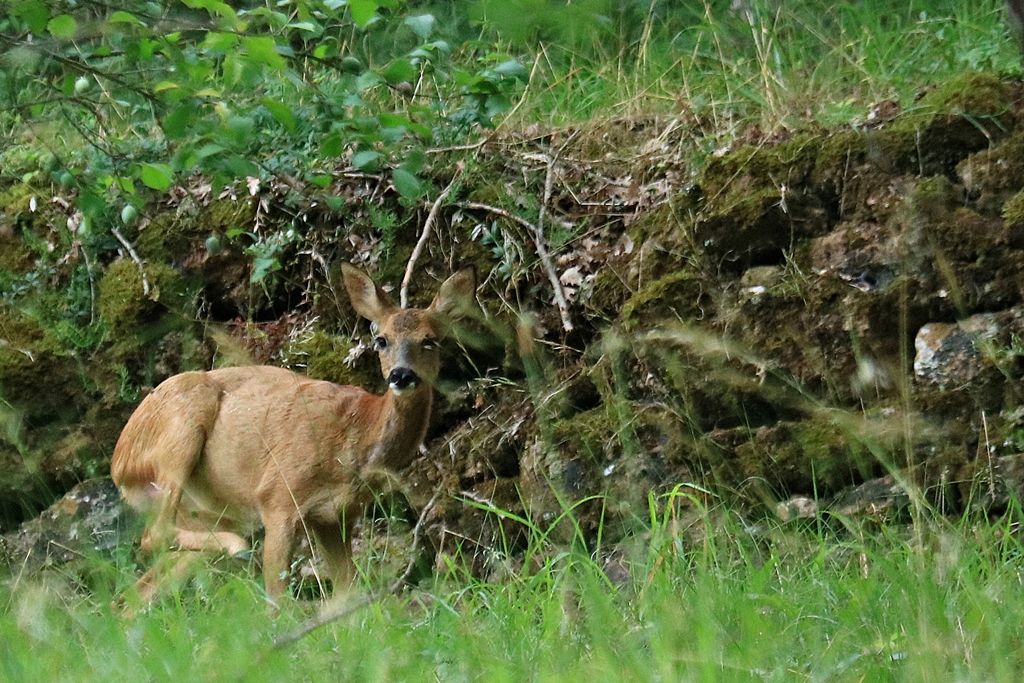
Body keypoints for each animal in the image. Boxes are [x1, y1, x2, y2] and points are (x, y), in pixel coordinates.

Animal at [110, 264, 477, 602]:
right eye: (381, 340)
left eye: (430, 340)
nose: (401, 375)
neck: (356, 438)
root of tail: (117, 463)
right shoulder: (278, 495)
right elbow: (277, 600)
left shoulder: (336, 515)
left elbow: (345, 595)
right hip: (181, 431)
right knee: (153, 536)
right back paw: (236, 547)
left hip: (204, 513)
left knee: (132, 592)